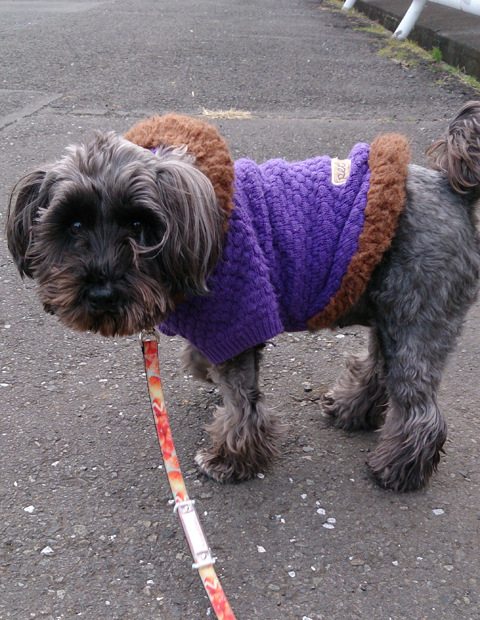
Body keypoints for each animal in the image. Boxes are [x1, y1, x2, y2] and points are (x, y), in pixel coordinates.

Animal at [6, 102, 480, 493]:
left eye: (140, 226)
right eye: (74, 225)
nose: (102, 292)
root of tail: (451, 188)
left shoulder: (238, 319)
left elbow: (242, 403)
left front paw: (231, 459)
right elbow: (206, 364)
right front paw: (203, 372)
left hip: (420, 316)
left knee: (418, 404)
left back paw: (398, 469)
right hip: (391, 313)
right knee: (381, 367)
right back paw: (351, 410)